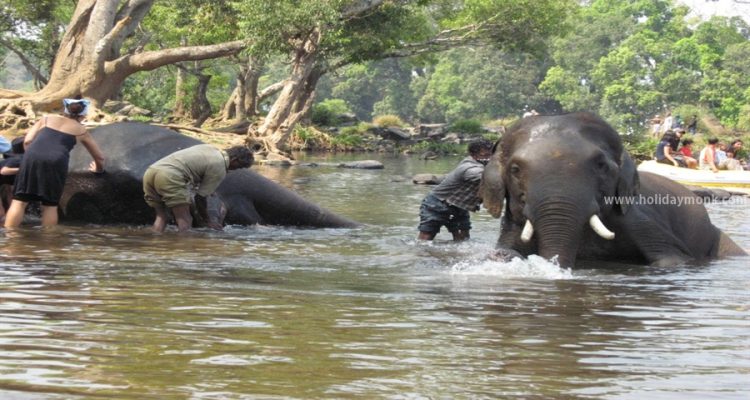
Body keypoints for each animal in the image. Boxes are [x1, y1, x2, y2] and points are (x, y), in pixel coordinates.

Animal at [479, 112, 746, 269]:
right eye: (515, 169)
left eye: (601, 165)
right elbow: (506, 249)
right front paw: (503, 256)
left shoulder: (637, 217)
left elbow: (672, 259)